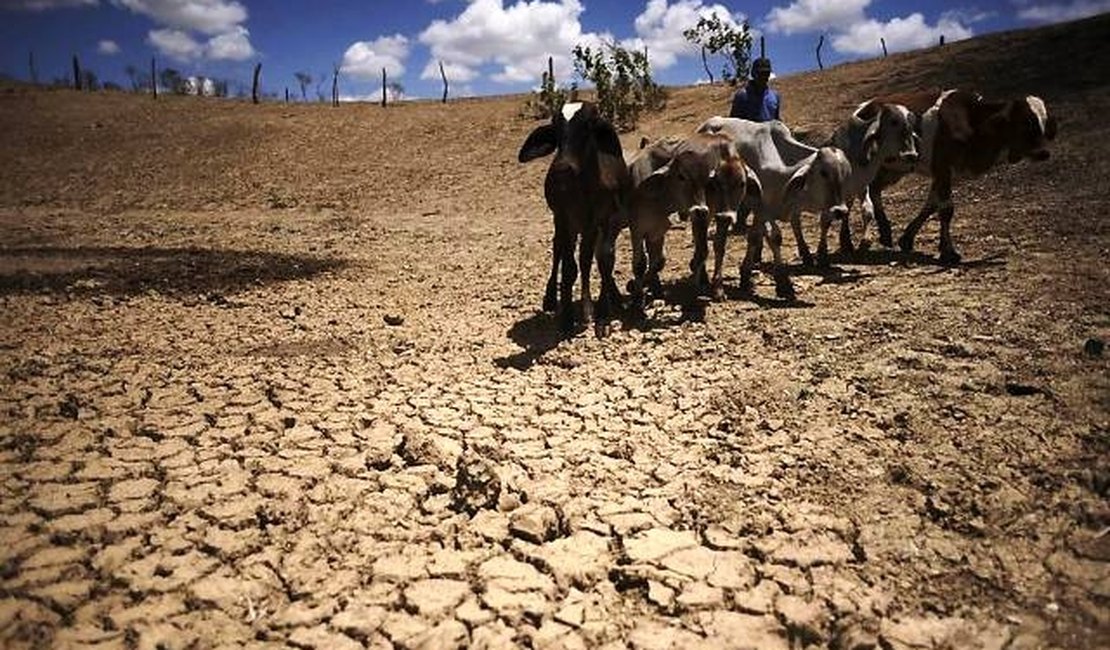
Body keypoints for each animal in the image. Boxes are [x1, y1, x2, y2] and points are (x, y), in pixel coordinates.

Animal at [515, 102, 630, 334]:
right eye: (556, 130)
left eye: (588, 126)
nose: (562, 168)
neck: (585, 188)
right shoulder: (563, 217)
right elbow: (569, 268)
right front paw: (567, 318)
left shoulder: (605, 219)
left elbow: (604, 260)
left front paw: (602, 316)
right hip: (567, 225)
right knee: (558, 249)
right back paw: (551, 298)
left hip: (589, 228)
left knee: (588, 258)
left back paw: (593, 305)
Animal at [692, 116, 848, 299]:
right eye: (823, 173)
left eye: (844, 173)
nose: (841, 211)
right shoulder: (762, 208)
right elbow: (773, 237)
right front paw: (783, 283)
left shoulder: (767, 210)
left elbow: (755, 237)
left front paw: (746, 276)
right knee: (699, 230)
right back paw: (702, 275)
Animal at [856, 88, 1056, 260]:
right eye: (1026, 122)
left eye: (1045, 124)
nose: (1044, 153)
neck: (973, 121)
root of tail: (865, 106)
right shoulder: (943, 167)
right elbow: (946, 209)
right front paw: (949, 252)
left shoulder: (943, 173)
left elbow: (931, 205)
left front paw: (907, 239)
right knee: (868, 192)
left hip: (894, 168)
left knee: (874, 190)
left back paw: (885, 233)